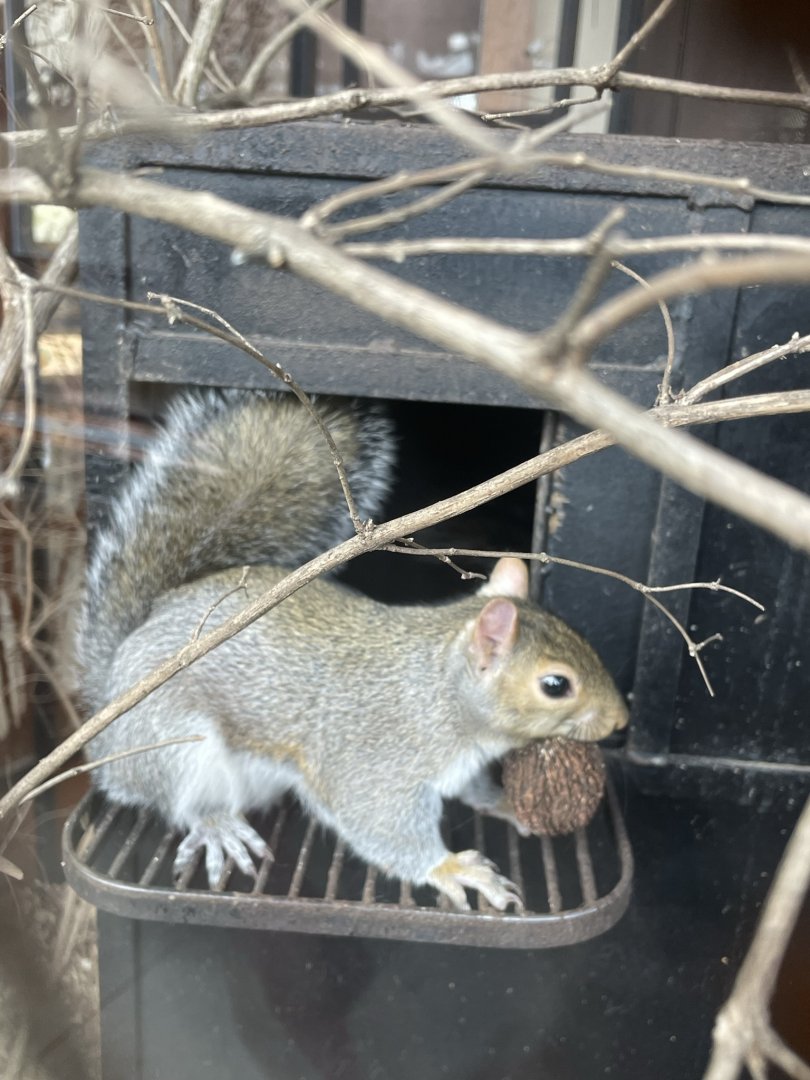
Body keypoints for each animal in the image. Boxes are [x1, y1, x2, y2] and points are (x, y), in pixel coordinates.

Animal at [77, 389, 628, 911]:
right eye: (555, 685)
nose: (620, 720)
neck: (442, 697)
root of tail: (111, 696)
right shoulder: (376, 761)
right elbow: (377, 821)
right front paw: (453, 869)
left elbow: (471, 791)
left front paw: (503, 803)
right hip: (174, 747)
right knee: (179, 799)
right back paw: (217, 826)